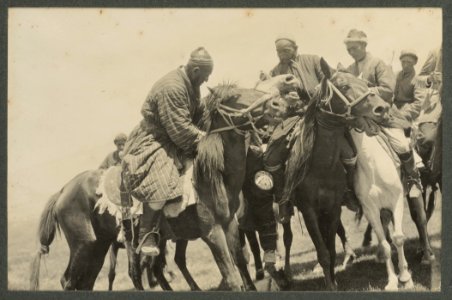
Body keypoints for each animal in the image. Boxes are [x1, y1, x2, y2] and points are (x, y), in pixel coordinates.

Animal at [30, 74, 300, 290]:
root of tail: (62, 190)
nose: (279, 104)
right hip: (85, 245)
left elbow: (242, 264)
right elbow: (232, 277)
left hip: (100, 246)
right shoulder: (212, 231)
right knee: (70, 281)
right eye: (235, 97)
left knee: (88, 281)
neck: (212, 175)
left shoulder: (230, 225)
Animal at [282, 58, 392, 290]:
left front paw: (334, 280)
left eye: (366, 83)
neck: (322, 167)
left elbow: (331, 249)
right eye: (344, 86)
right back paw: (286, 273)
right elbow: (323, 252)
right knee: (287, 238)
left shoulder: (332, 208)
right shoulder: (309, 211)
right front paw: (329, 284)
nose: (382, 108)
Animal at [352, 129, 414, 290]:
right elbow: (385, 245)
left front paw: (405, 277)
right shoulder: (370, 209)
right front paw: (392, 281)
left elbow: (398, 238)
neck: (371, 164)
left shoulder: (397, 201)